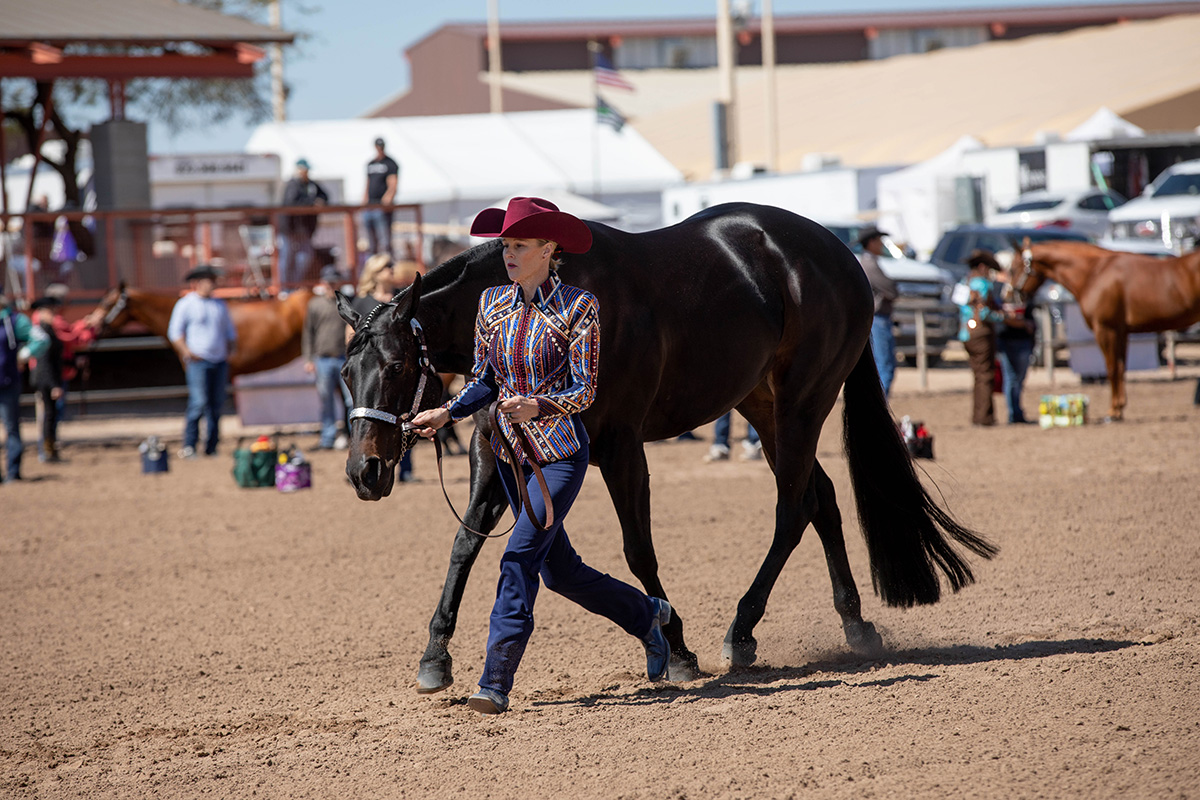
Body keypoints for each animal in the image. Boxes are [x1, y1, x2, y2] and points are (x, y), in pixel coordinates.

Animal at [336, 203, 993, 690]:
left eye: (396, 367)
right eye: (345, 372)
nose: (365, 471)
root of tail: (840, 254)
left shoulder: (623, 447)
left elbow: (639, 551)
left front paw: (675, 648)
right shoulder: (495, 449)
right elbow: (464, 544)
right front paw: (435, 655)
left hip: (804, 401)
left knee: (794, 507)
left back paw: (741, 630)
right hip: (760, 403)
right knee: (822, 498)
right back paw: (854, 624)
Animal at [1012, 241, 1200, 422]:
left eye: (1014, 267)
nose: (1010, 295)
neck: (1094, 273)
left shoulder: (1105, 329)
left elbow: (1111, 368)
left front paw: (1113, 412)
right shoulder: (1121, 331)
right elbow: (1121, 367)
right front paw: (1119, 407)